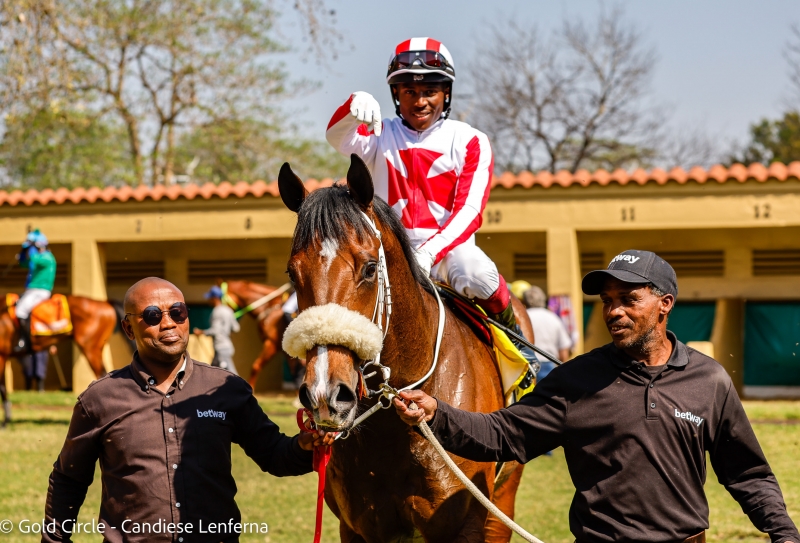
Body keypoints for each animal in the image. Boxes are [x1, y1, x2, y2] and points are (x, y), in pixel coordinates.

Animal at [0, 296, 118, 426]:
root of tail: (106, 302)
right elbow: (3, 387)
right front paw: (7, 419)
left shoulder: (2, 355)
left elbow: (1, 387)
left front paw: (5, 421)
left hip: (90, 348)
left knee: (100, 374)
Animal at [278, 154, 534, 542]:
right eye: (293, 274)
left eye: (370, 268)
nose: (325, 393)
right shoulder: (358, 528)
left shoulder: (468, 523)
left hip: (503, 502)